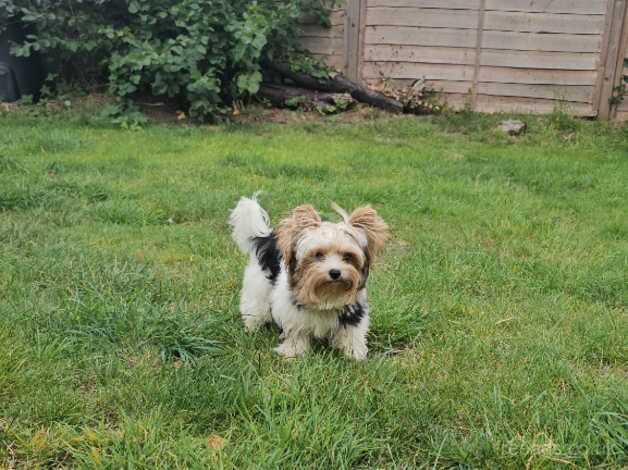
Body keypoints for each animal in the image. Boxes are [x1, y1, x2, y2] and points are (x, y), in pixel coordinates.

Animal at [231, 195, 388, 360]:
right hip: (258, 286)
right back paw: (252, 327)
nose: (335, 272)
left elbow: (351, 333)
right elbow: (296, 332)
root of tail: (267, 237)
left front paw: (353, 354)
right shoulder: (292, 312)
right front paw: (294, 353)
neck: (326, 294)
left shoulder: (353, 310)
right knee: (255, 307)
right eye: (318, 254)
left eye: (348, 256)